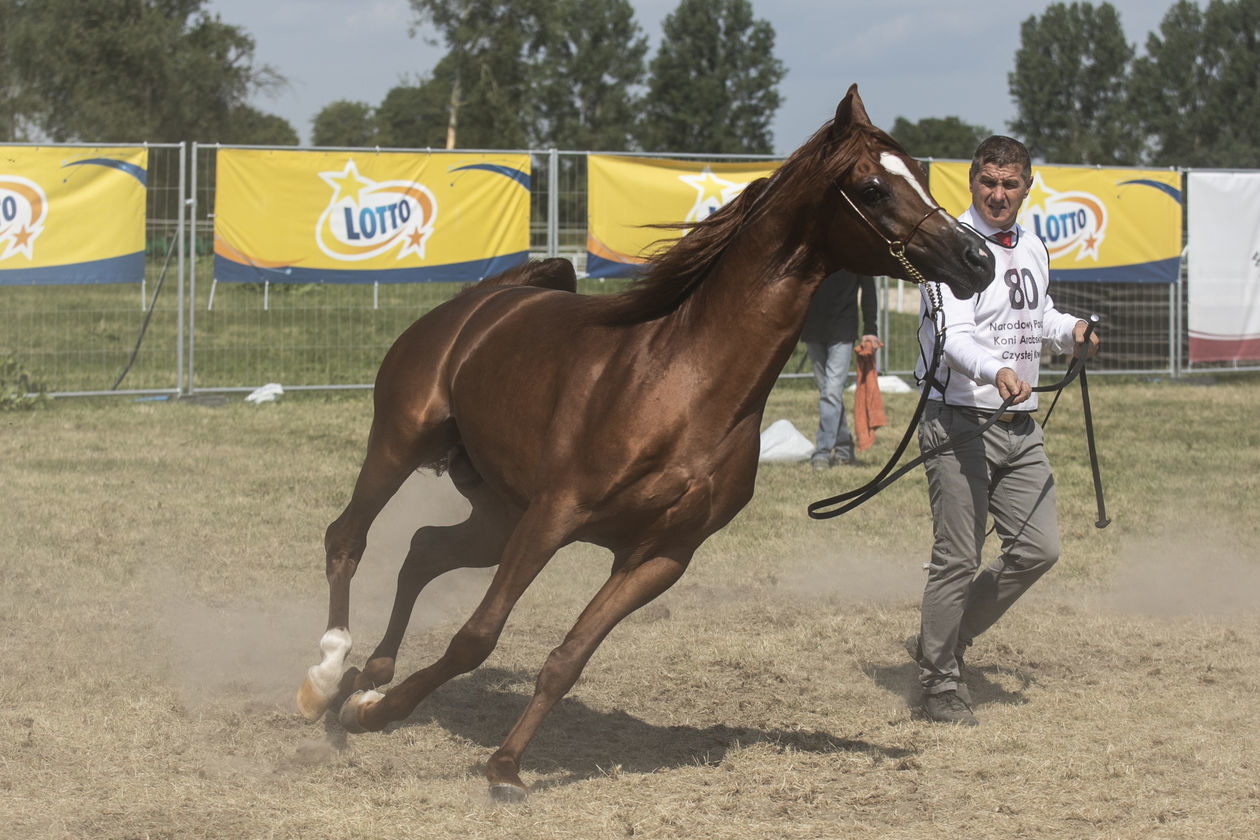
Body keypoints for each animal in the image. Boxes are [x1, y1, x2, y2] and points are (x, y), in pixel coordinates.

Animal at [294, 86, 992, 800]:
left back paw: (368, 680)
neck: (683, 384)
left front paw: (496, 761)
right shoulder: (555, 516)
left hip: (497, 513)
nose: (979, 259)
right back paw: (327, 679)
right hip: (402, 443)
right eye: (874, 188)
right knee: (347, 538)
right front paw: (379, 715)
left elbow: (567, 658)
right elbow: (477, 637)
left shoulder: (658, 556)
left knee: (423, 550)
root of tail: (480, 305)